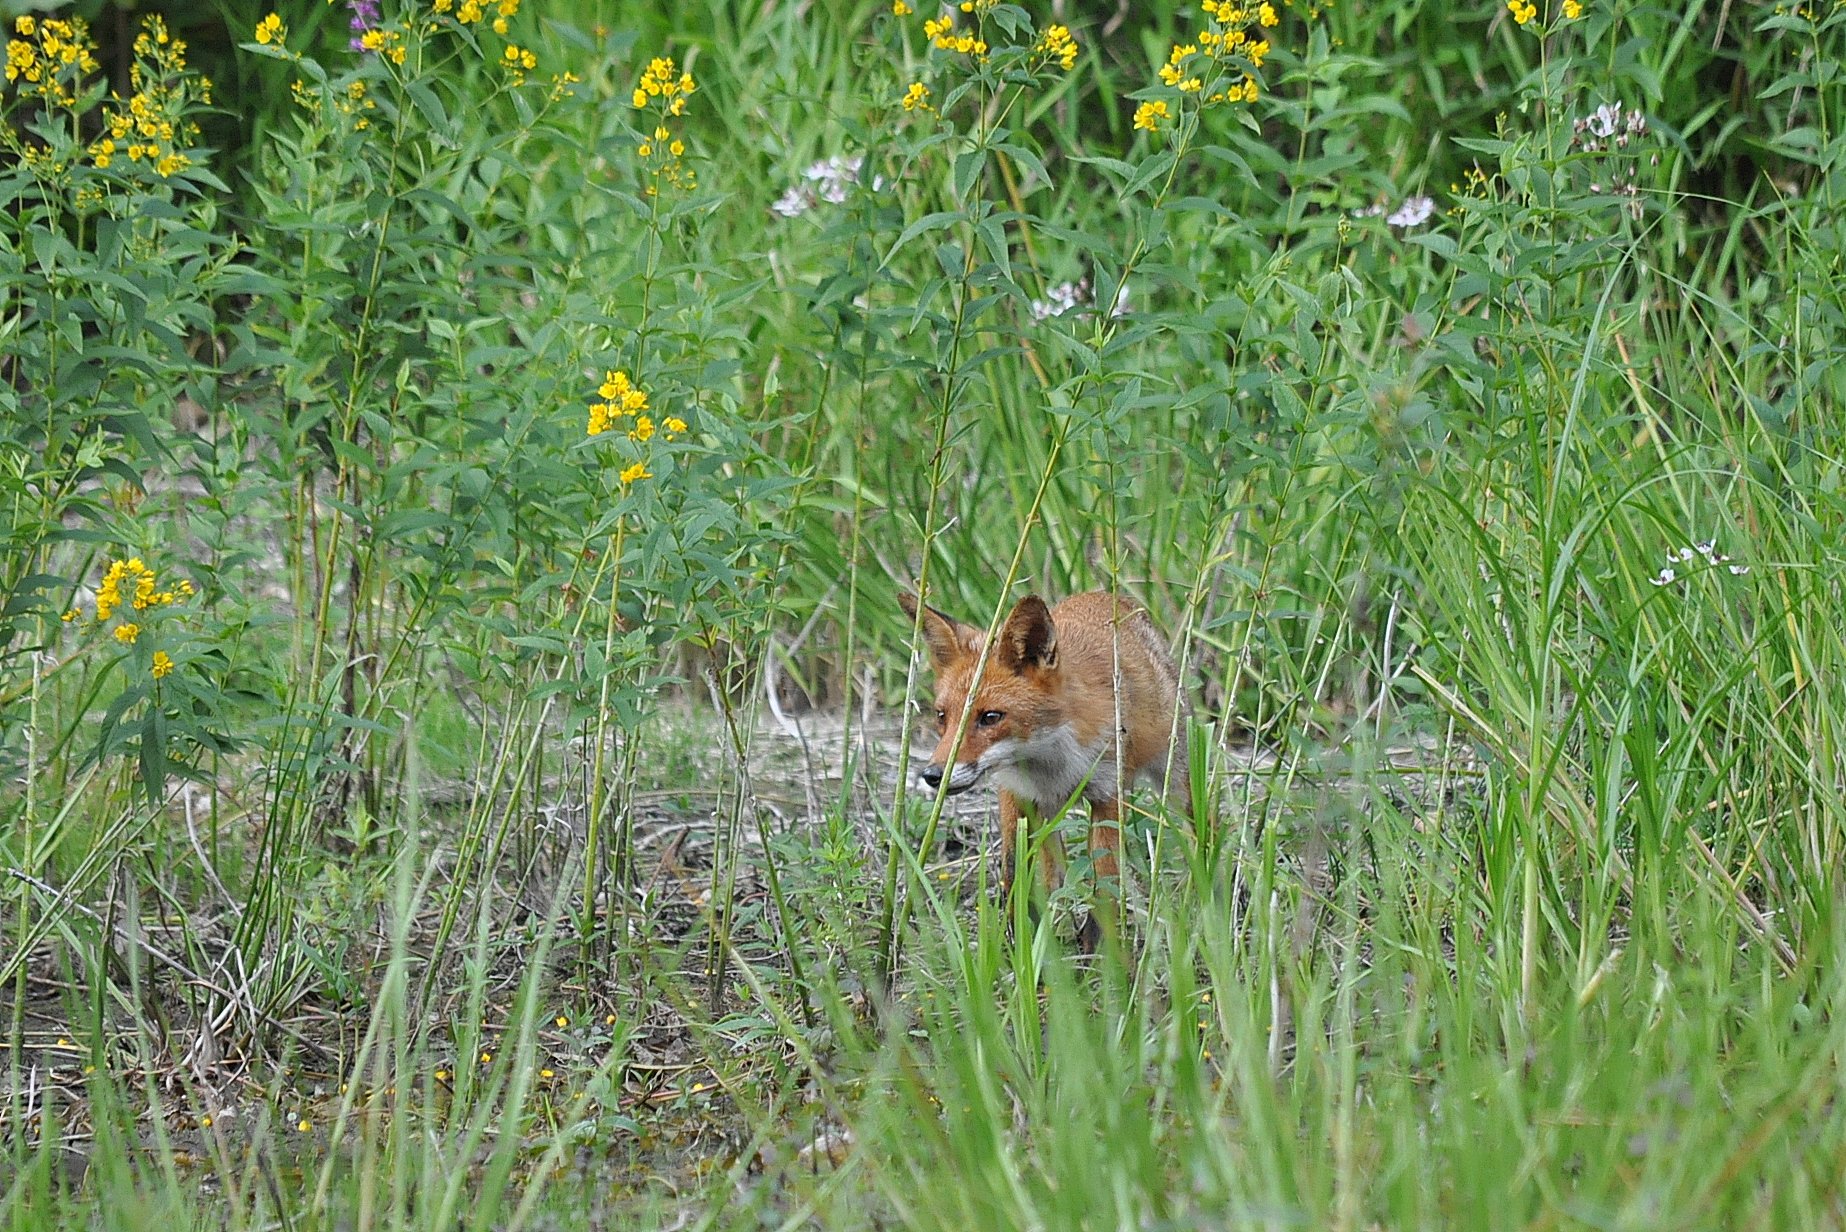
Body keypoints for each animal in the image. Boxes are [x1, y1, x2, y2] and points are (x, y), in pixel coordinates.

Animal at [900, 591, 1188, 945]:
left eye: (990, 717)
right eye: (942, 716)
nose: (933, 775)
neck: (1050, 762)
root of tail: (1107, 595)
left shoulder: (1108, 794)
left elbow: (1105, 883)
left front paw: (1100, 955)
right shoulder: (1016, 796)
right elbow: (1014, 875)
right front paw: (1019, 945)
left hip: (1176, 775)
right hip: (1048, 817)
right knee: (1053, 875)